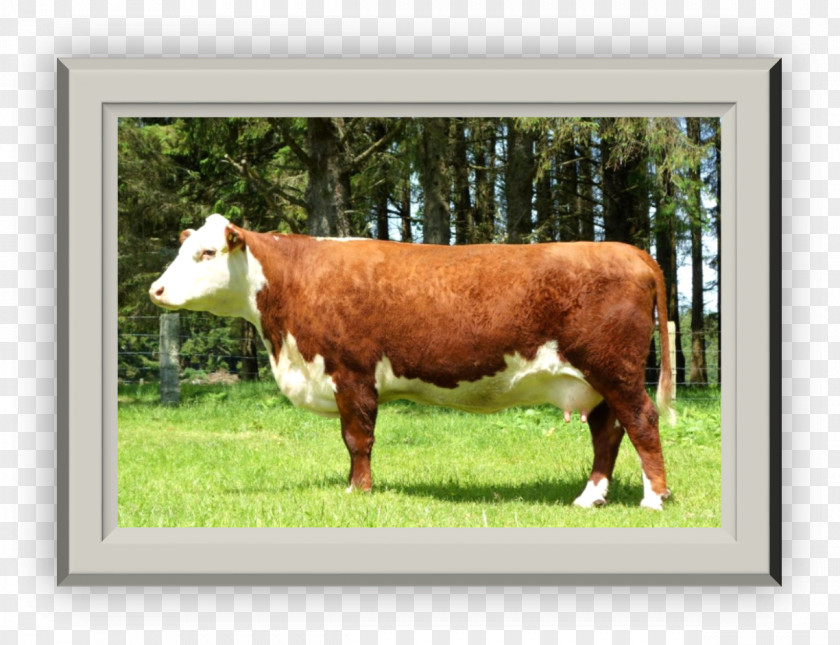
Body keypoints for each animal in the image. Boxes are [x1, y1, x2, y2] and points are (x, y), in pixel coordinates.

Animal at [151, 215, 672, 508]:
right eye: (182, 249)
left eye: (206, 252)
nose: (156, 289)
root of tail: (628, 251)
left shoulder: (351, 373)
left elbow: (357, 438)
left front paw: (358, 491)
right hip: (597, 379)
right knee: (608, 432)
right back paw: (590, 498)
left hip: (616, 370)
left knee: (641, 421)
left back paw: (654, 499)